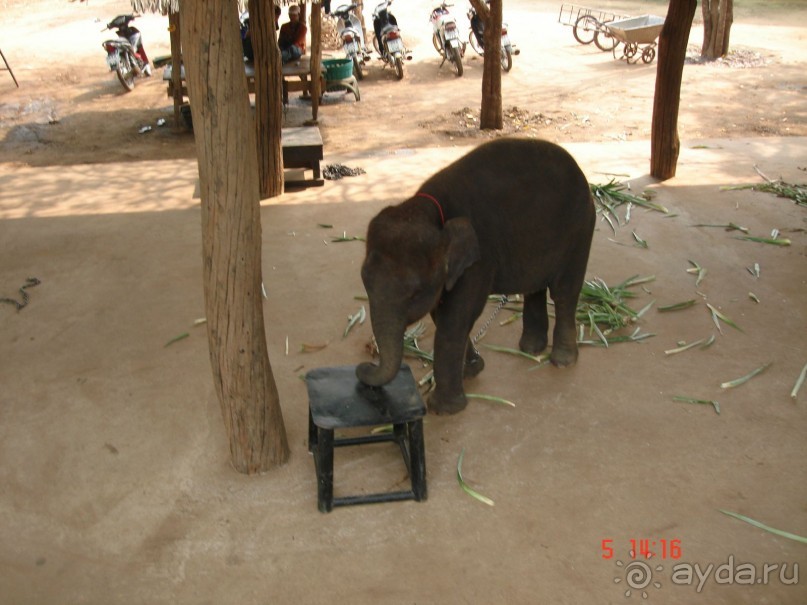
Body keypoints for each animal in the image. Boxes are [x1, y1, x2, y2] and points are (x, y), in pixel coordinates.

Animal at [356, 139, 596, 412]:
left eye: (415, 294)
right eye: (364, 282)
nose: (365, 366)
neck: (434, 210)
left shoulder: (479, 262)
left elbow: (454, 319)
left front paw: (445, 409)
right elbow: (442, 315)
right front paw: (473, 370)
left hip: (580, 229)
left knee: (564, 291)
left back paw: (562, 361)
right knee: (535, 287)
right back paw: (531, 348)